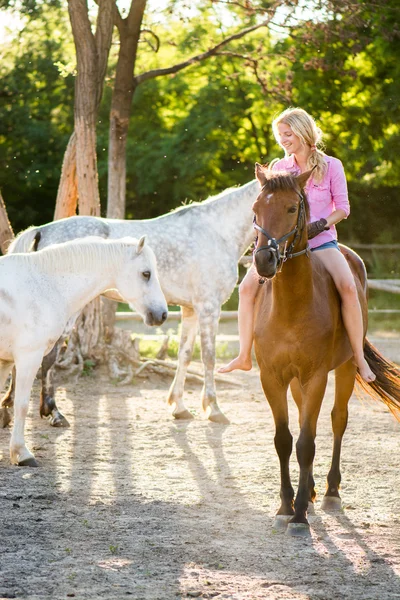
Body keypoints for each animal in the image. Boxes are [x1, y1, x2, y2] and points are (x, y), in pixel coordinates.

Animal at [0, 237, 166, 466]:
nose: (163, 314)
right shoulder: (28, 357)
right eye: (146, 273)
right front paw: (21, 453)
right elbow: (21, 404)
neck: (42, 287)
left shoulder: (6, 361)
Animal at [6, 180, 260, 424]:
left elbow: (185, 355)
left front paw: (179, 406)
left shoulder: (191, 309)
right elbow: (209, 358)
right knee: (47, 359)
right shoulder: (209, 307)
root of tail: (43, 230)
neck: (217, 231)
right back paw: (53, 412)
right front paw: (214, 409)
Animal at [253, 162, 400, 536]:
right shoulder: (272, 378)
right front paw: (284, 507)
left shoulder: (316, 375)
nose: (264, 261)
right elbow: (284, 440)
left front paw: (299, 516)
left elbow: (306, 442)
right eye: (256, 209)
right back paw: (310, 492)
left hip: (346, 368)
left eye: (292, 208)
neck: (291, 306)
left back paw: (330, 492)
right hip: (296, 382)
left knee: (336, 421)